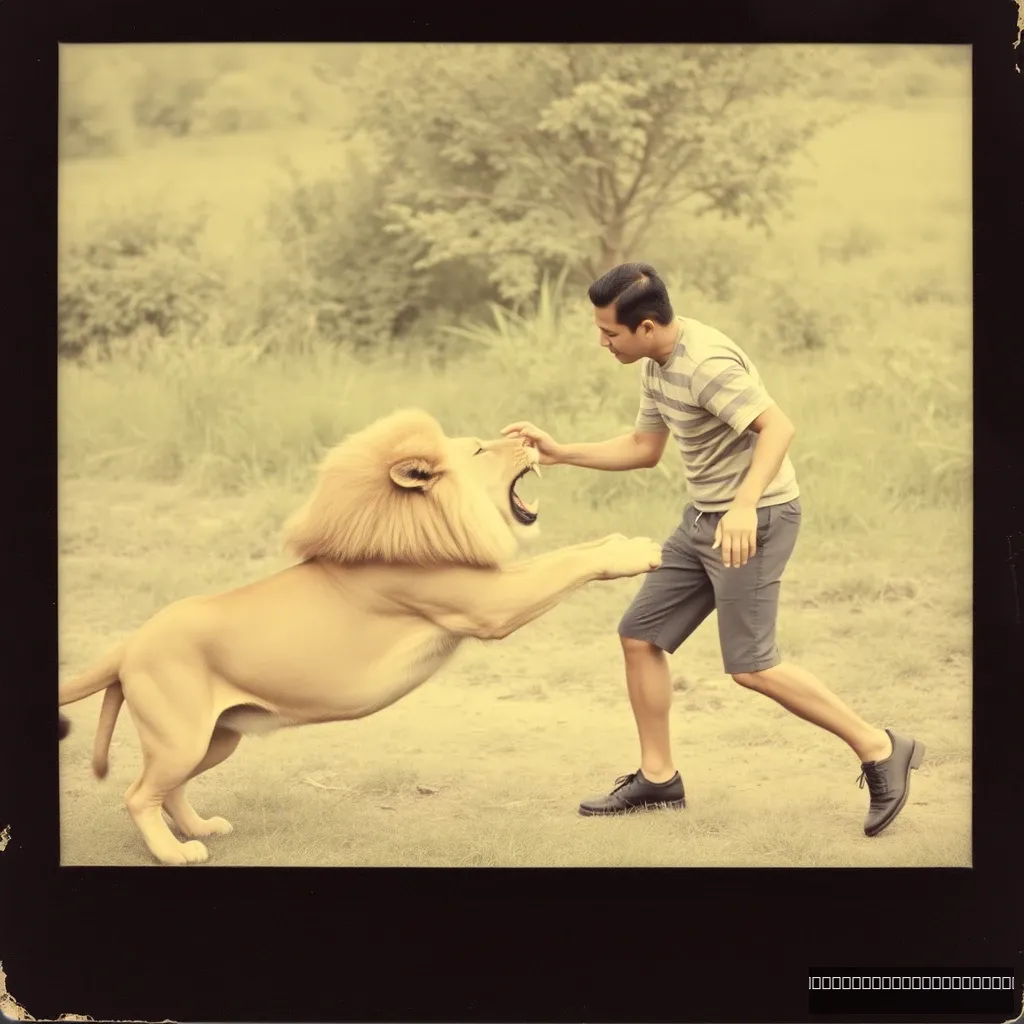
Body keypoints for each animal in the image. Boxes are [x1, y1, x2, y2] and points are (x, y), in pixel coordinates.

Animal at [58, 407, 663, 864]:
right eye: (478, 450)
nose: (527, 440)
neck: (424, 519)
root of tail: (130, 642)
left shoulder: (489, 586)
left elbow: (571, 554)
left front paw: (622, 540)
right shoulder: (487, 603)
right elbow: (566, 562)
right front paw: (638, 550)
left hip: (216, 738)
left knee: (172, 788)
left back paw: (200, 828)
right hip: (181, 738)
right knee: (138, 794)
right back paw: (175, 852)